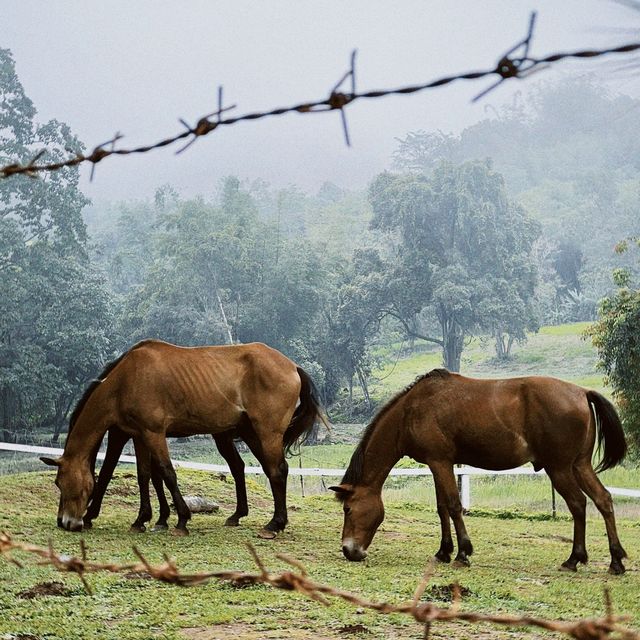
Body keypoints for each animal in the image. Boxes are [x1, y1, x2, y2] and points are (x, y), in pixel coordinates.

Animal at [41, 340, 324, 536]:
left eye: (61, 483)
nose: (65, 522)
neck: (126, 380)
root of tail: (292, 366)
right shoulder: (139, 435)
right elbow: (145, 475)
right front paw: (145, 519)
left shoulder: (153, 433)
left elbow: (166, 472)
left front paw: (181, 520)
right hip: (250, 433)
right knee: (256, 468)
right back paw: (242, 516)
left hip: (267, 432)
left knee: (277, 470)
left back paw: (274, 524)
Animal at [332, 370, 628, 576]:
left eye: (348, 508)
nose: (348, 550)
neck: (410, 411)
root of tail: (582, 392)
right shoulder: (438, 464)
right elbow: (441, 507)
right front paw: (444, 551)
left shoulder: (440, 462)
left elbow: (453, 505)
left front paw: (463, 553)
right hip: (580, 466)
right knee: (603, 500)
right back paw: (615, 560)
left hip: (560, 469)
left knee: (578, 504)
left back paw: (574, 558)